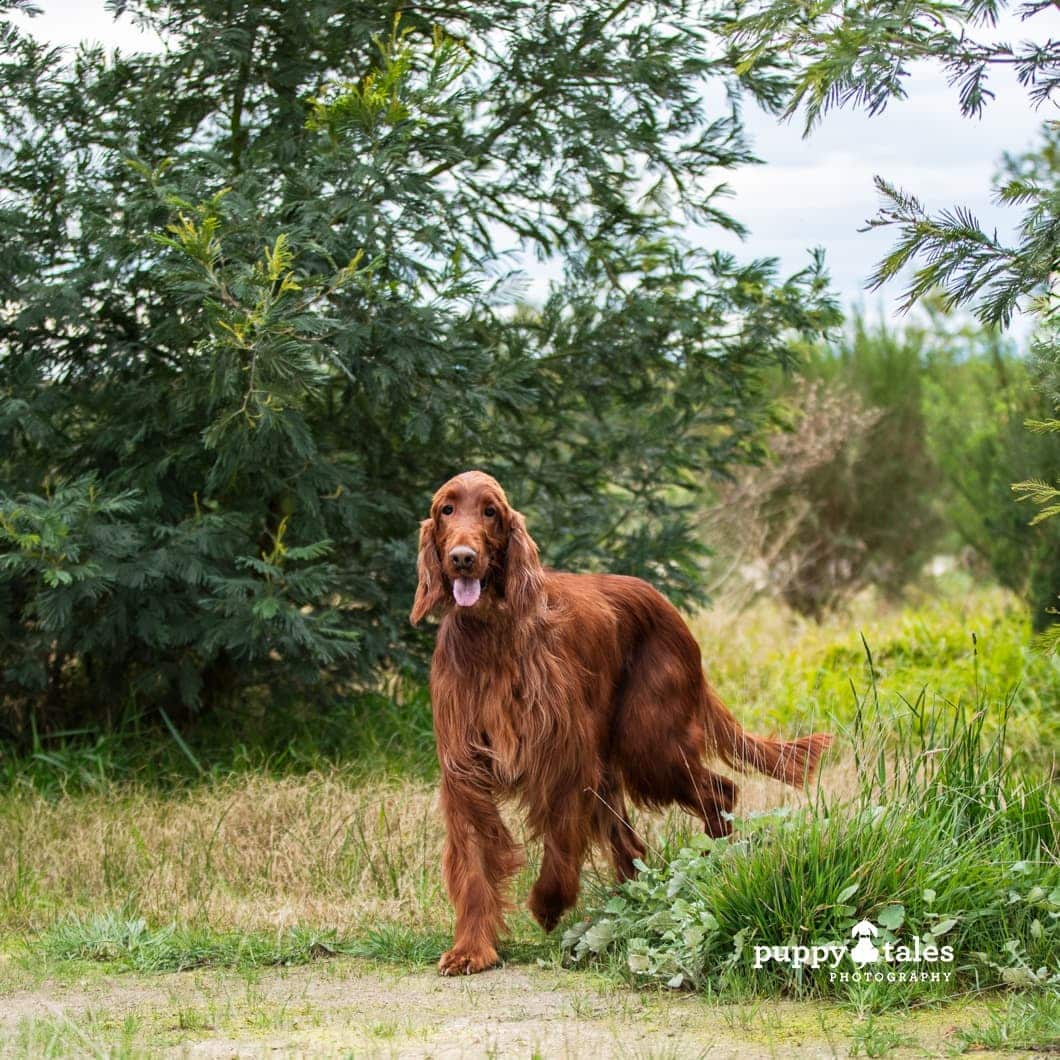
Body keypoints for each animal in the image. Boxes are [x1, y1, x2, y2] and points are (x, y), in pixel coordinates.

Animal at [409, 472, 831, 975]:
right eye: (446, 510)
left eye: (490, 511)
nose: (462, 558)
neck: (491, 633)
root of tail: (669, 609)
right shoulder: (465, 767)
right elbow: (474, 858)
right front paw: (471, 948)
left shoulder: (566, 759)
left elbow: (561, 844)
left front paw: (548, 904)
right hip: (619, 762)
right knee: (631, 843)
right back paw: (632, 905)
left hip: (651, 746)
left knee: (720, 792)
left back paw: (716, 868)